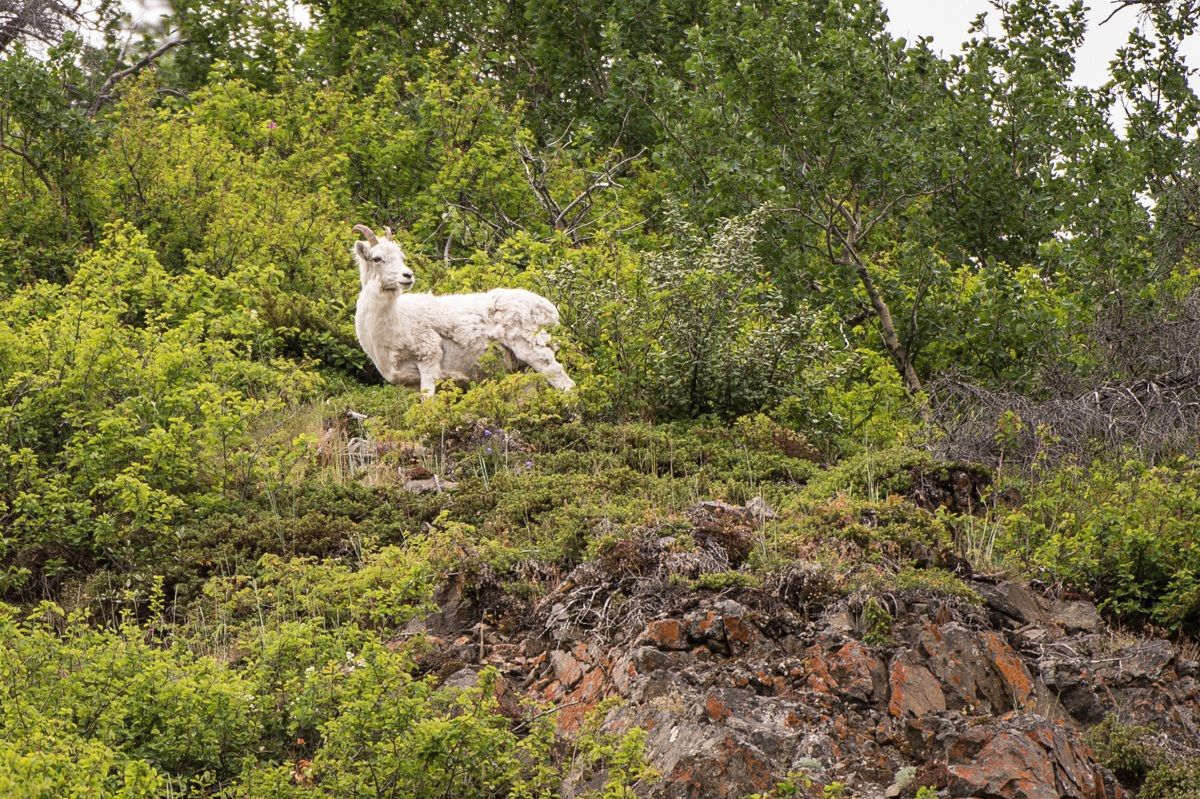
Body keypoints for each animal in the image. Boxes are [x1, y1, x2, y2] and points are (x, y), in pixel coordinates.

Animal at [351, 224, 576, 397]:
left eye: (401, 256)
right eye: (377, 258)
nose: (408, 276)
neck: (396, 322)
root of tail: (550, 312)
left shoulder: (428, 358)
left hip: (533, 347)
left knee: (564, 382)